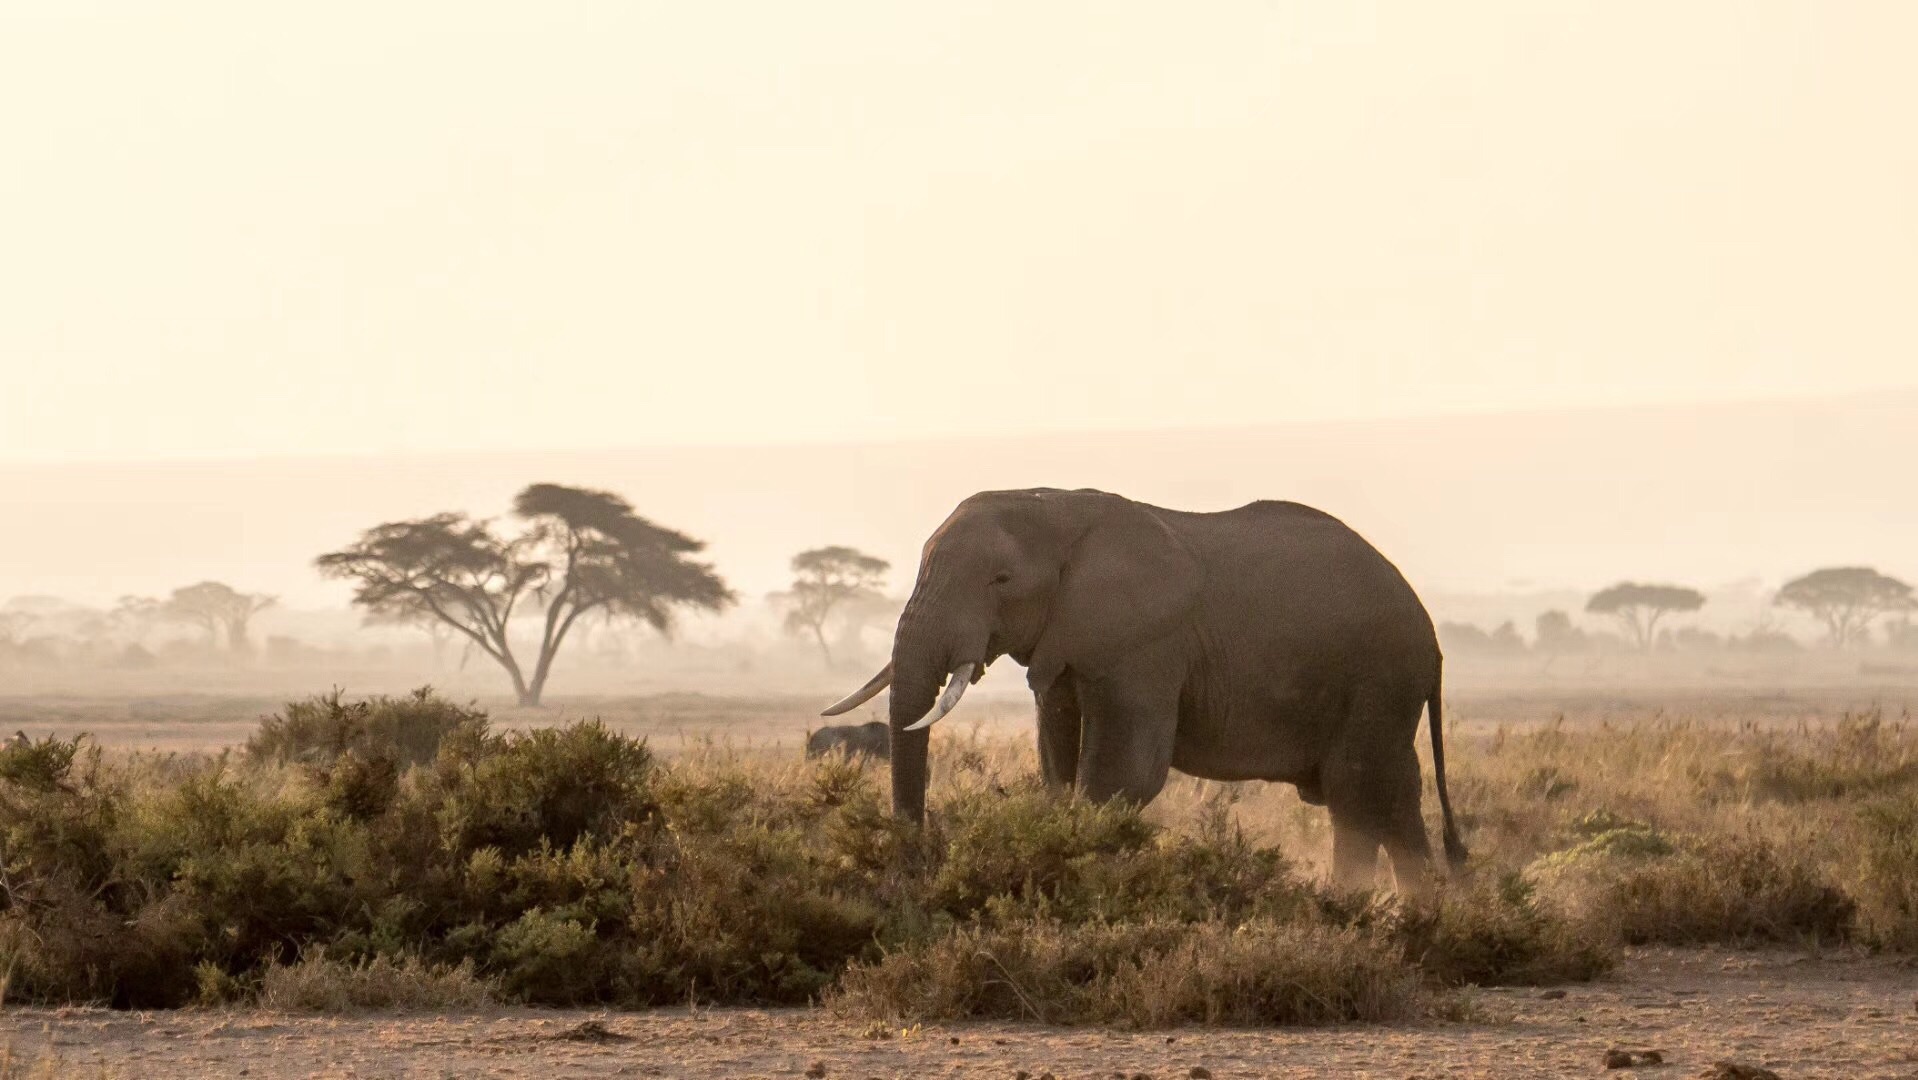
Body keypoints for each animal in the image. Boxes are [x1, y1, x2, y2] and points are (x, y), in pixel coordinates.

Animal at [824, 485, 1465, 890]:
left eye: (1000, 580)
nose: (913, 872)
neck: (1055, 505)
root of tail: (1432, 632)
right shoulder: (1065, 640)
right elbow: (1057, 762)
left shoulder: (1146, 644)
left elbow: (1120, 777)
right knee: (1391, 795)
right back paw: (1416, 916)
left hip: (1378, 675)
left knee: (1357, 792)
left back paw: (1352, 910)